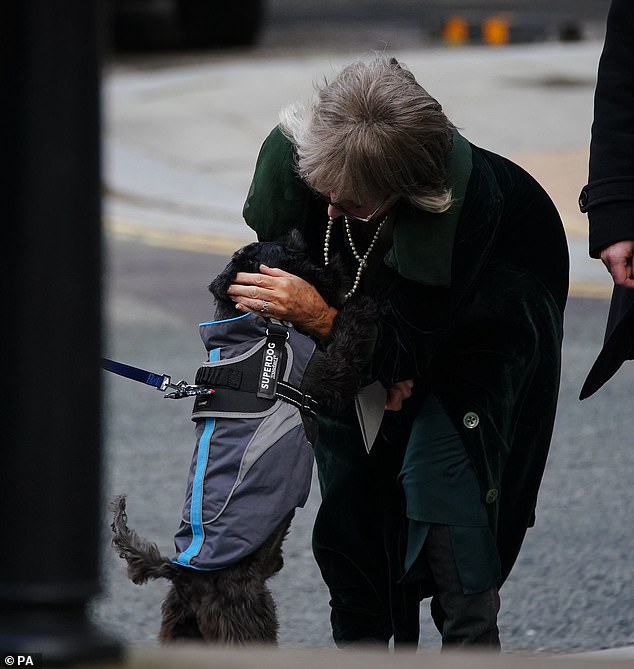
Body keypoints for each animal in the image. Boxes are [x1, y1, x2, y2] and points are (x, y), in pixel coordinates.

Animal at [110, 230, 376, 640]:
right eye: (294, 256)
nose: (333, 265)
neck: (260, 330)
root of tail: (180, 572)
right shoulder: (329, 373)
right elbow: (349, 340)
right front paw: (361, 302)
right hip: (248, 618)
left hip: (181, 625)